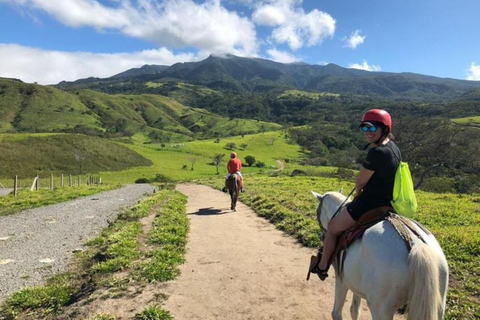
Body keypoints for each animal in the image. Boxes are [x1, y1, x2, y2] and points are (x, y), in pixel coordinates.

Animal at [314, 191, 448, 318]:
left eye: (318, 212)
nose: (322, 236)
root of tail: (416, 244)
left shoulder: (341, 279)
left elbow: (336, 312)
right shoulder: (355, 283)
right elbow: (354, 311)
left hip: (381, 310)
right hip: (438, 306)